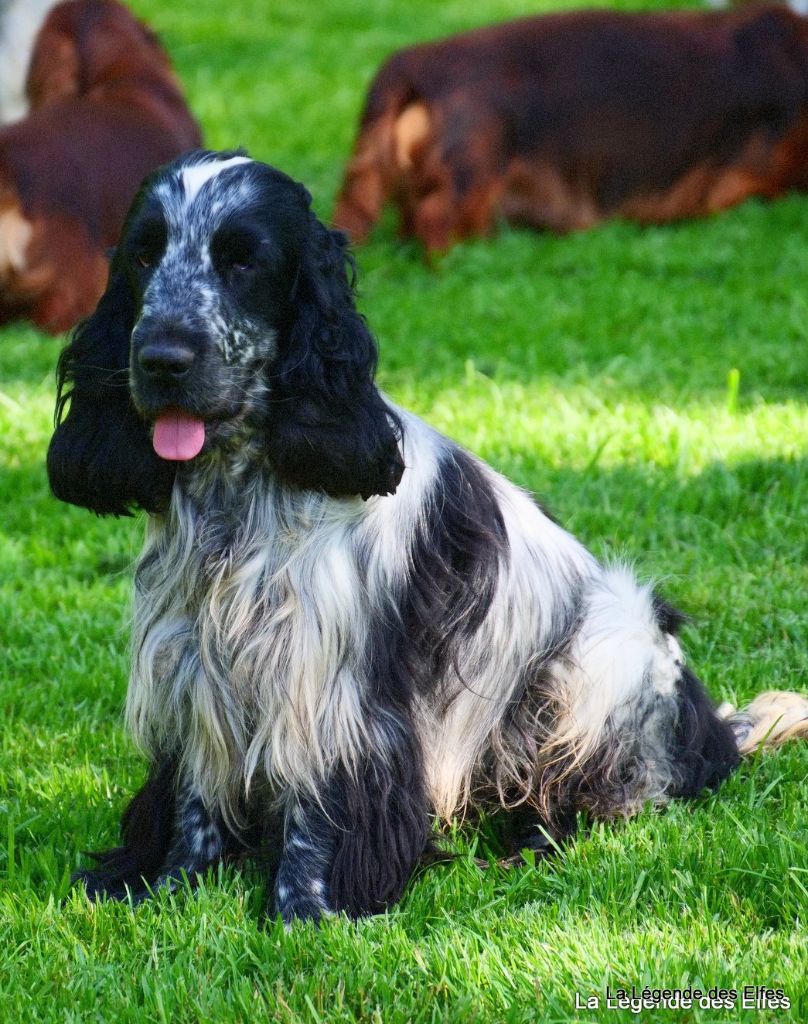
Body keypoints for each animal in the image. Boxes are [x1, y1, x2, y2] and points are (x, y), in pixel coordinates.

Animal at [48, 148, 806, 925]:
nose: (161, 359)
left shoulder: (329, 684)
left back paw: (525, 850)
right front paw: (166, 888)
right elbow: (196, 799)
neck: (238, 491)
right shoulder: (194, 657)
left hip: (599, 653)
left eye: (243, 261)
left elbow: (315, 811)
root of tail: (713, 734)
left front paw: (304, 913)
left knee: (601, 795)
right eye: (143, 256)